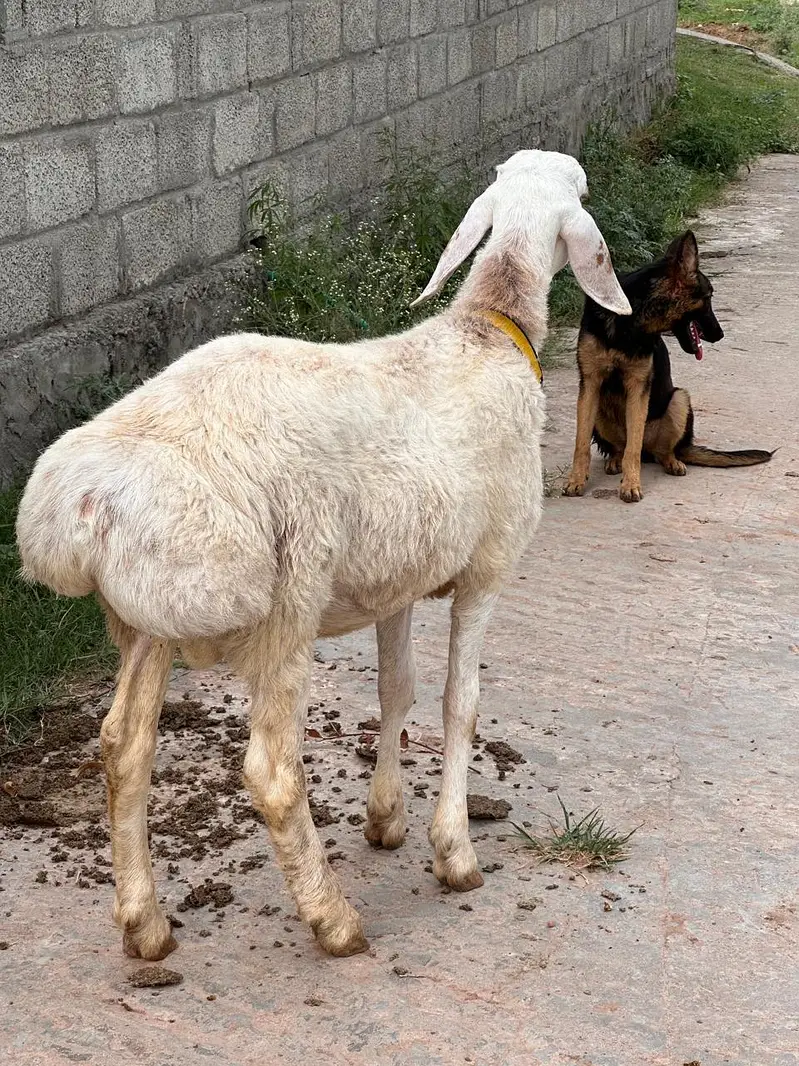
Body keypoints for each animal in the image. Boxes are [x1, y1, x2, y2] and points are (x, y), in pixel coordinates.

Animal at [16, 149, 631, 961]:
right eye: (584, 190)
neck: (486, 330)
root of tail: (86, 507)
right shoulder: (487, 569)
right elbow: (459, 703)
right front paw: (453, 851)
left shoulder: (399, 577)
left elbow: (397, 690)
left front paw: (386, 819)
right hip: (286, 595)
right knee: (272, 770)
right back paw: (332, 918)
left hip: (150, 615)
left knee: (123, 746)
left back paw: (145, 925)